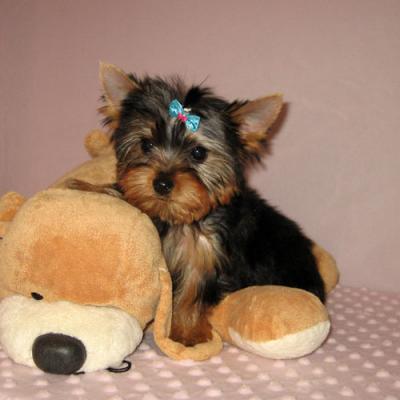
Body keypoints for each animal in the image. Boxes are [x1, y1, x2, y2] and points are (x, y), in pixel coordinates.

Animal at [70, 62, 326, 346]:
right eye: (146, 144)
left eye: (198, 153)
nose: (161, 183)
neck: (178, 219)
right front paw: (87, 187)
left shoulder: (207, 255)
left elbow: (193, 292)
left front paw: (186, 333)